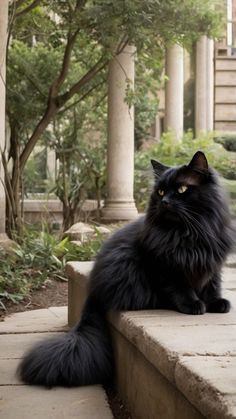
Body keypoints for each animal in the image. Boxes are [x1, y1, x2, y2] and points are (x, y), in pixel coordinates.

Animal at [18, 151, 232, 388]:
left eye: (182, 189)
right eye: (160, 191)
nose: (164, 201)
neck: (188, 232)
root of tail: (94, 289)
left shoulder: (212, 264)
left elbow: (213, 285)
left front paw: (217, 303)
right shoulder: (164, 266)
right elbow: (179, 287)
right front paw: (194, 304)